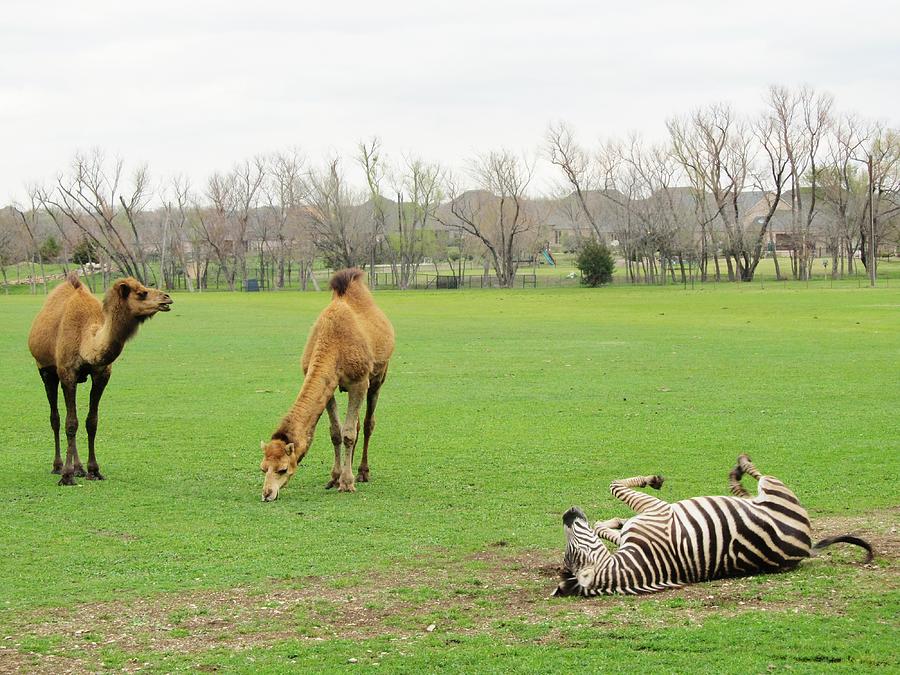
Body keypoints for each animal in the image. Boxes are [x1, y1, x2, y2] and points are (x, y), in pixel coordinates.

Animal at [29, 274, 174, 486]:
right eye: (142, 293)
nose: (167, 298)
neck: (86, 341)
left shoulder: (101, 375)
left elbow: (91, 422)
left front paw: (93, 471)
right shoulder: (67, 373)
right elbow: (70, 423)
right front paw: (67, 476)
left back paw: (79, 468)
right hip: (45, 370)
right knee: (55, 418)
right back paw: (58, 466)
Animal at [264, 270, 398, 502]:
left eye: (283, 469)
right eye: (263, 468)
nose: (267, 493)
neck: (332, 343)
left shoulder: (359, 382)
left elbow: (349, 433)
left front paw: (347, 483)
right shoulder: (330, 385)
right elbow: (336, 432)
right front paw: (335, 478)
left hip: (378, 377)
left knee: (367, 423)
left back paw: (362, 472)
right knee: (356, 425)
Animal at [552, 454, 876, 596]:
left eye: (570, 549)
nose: (567, 513)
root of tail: (807, 547)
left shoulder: (650, 518)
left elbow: (609, 514)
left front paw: (613, 522)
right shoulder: (657, 511)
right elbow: (615, 486)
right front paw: (652, 481)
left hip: (769, 492)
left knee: (747, 490)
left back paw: (738, 476)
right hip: (776, 489)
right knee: (757, 477)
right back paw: (740, 467)